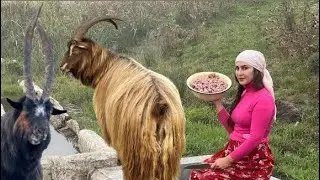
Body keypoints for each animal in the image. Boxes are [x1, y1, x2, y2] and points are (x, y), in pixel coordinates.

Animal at [60, 17, 185, 180]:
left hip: (135, 150)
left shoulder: (108, 129)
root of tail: (159, 104)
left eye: (74, 49)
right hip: (170, 152)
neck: (106, 67)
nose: (62, 66)